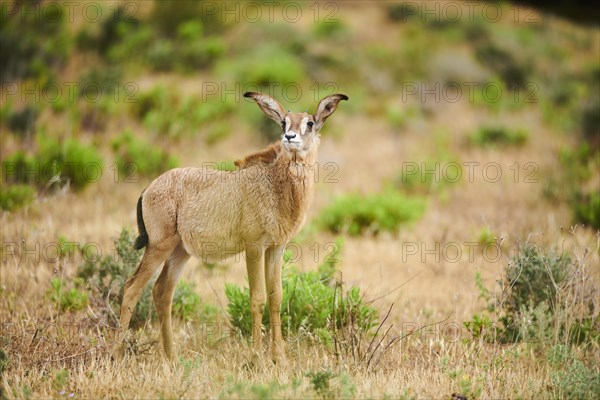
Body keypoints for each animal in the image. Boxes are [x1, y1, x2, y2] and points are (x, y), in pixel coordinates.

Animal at [116, 91, 346, 362]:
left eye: (309, 123)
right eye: (283, 122)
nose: (289, 137)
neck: (275, 185)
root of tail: (149, 189)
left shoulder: (275, 248)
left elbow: (276, 298)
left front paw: (279, 357)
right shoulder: (254, 248)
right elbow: (257, 299)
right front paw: (257, 357)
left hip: (179, 252)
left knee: (162, 292)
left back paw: (172, 357)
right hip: (159, 247)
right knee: (131, 288)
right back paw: (116, 354)